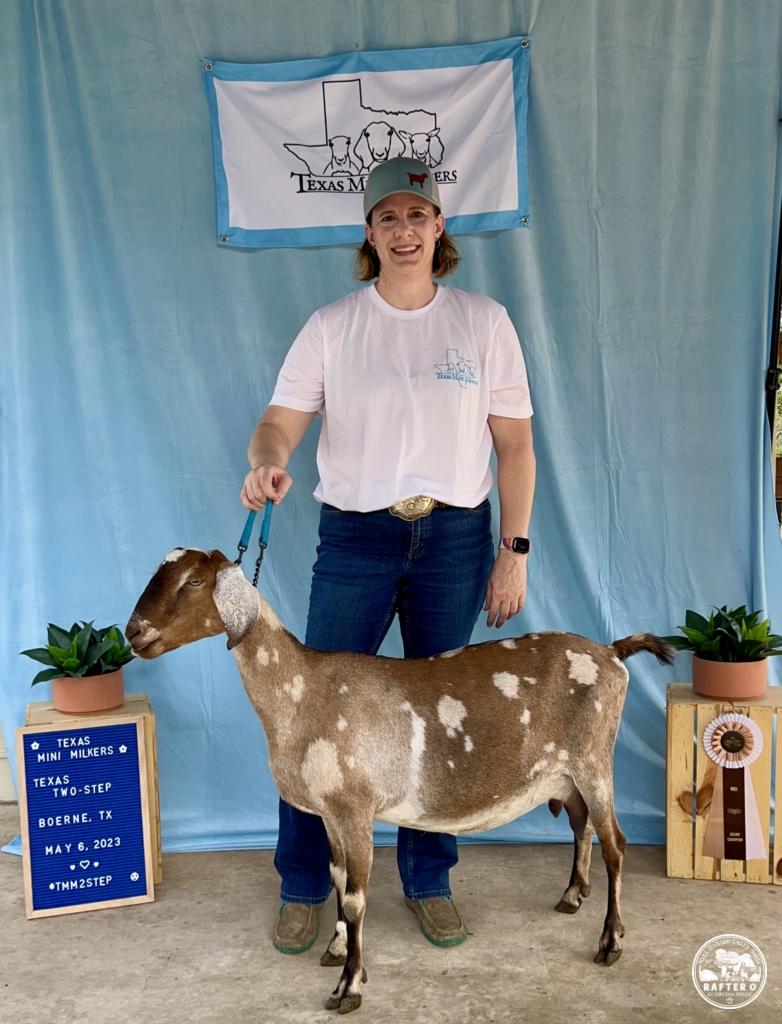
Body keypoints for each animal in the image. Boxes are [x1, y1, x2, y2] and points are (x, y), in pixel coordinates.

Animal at [126, 548, 671, 1011]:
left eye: (195, 581)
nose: (133, 632)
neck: (303, 693)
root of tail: (611, 651)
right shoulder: (330, 813)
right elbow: (337, 878)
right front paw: (335, 947)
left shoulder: (355, 807)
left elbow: (355, 897)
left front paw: (348, 985)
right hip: (565, 773)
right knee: (581, 825)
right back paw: (572, 896)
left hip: (594, 761)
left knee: (616, 844)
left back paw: (610, 941)